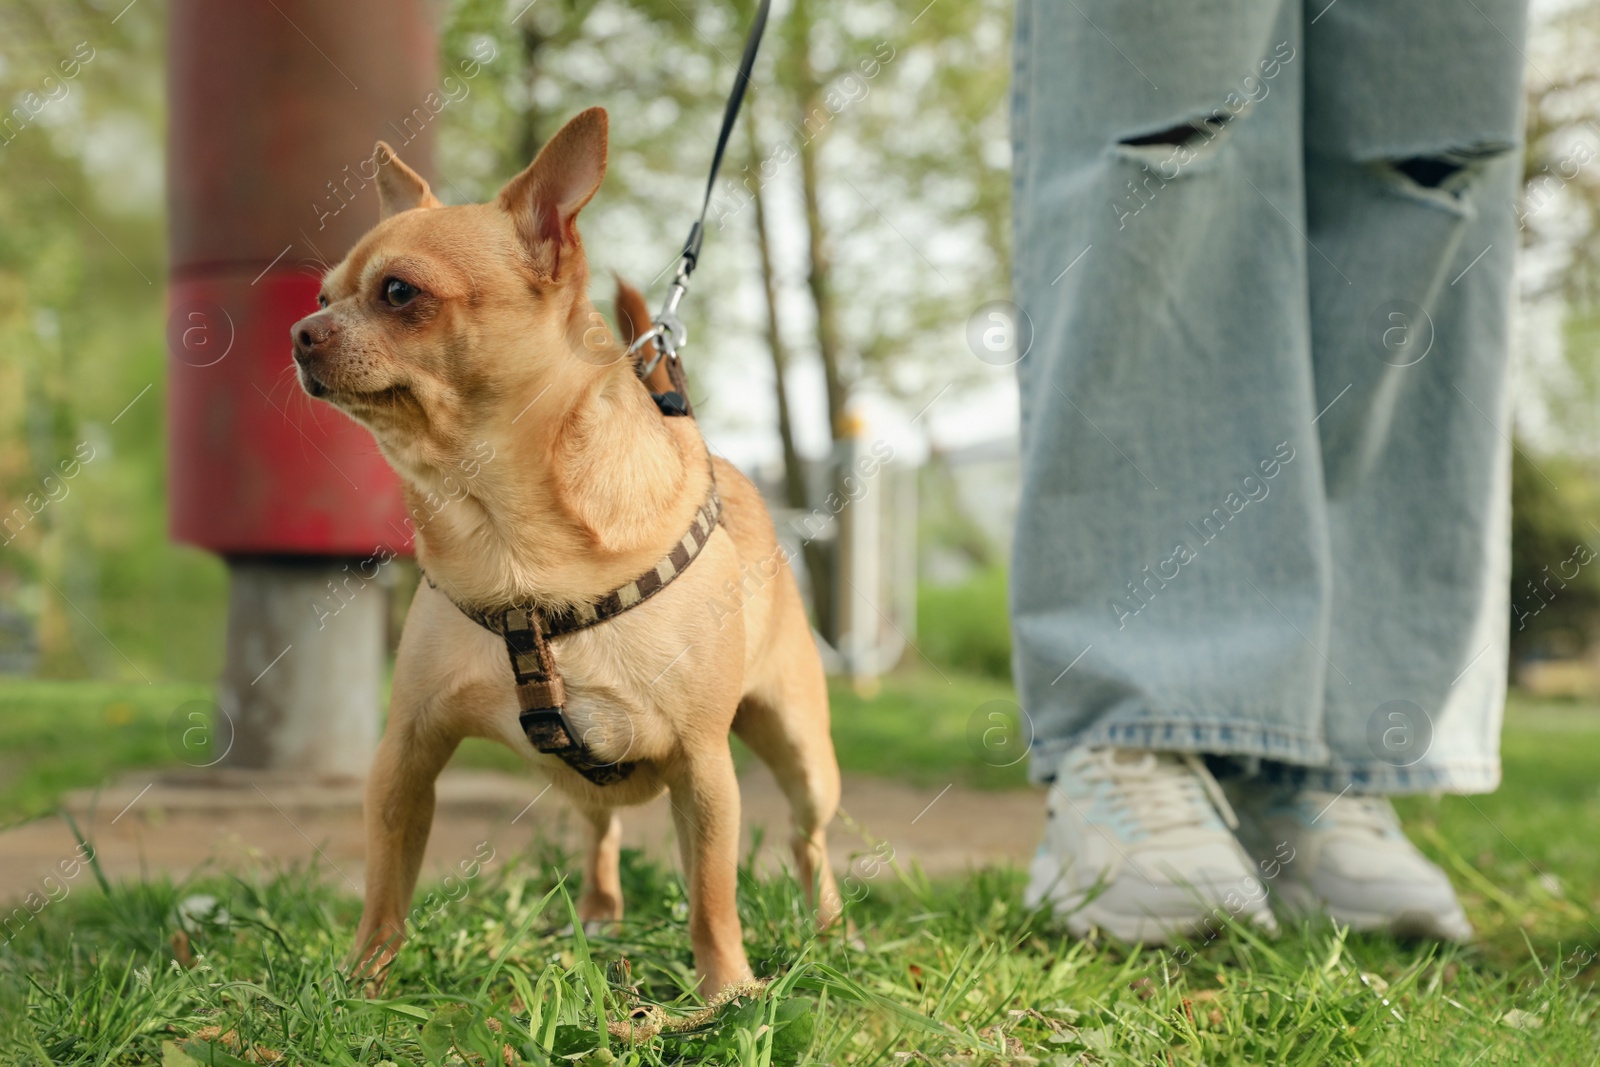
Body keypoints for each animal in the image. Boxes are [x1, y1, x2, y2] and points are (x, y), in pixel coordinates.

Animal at [299, 106, 844, 991]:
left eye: (400, 292)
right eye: (322, 295)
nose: (299, 331)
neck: (504, 532)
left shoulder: (704, 767)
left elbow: (712, 895)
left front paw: (728, 990)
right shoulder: (405, 758)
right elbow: (385, 887)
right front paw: (363, 984)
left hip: (801, 753)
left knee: (807, 837)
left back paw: (830, 930)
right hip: (587, 781)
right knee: (602, 829)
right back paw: (598, 914)